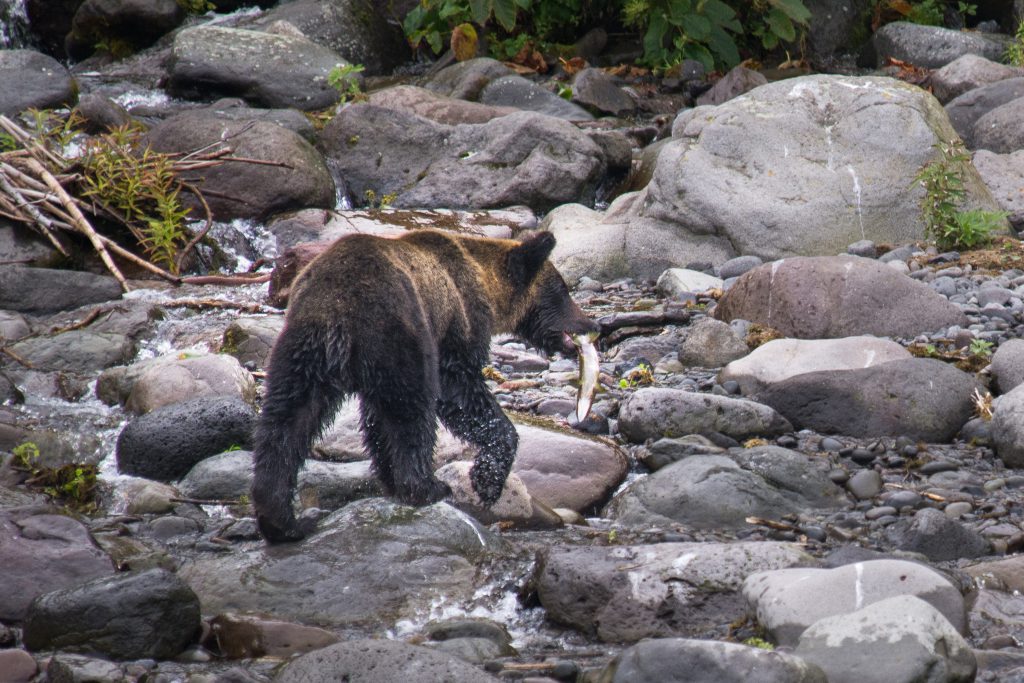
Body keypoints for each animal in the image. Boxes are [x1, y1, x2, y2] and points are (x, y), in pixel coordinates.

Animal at [250, 229, 598, 544]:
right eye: (562, 290)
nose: (592, 324)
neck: (485, 285)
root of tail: (338, 309)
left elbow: (375, 420)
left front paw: (388, 477)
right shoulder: (456, 326)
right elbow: (459, 393)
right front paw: (486, 480)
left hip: (301, 349)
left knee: (285, 421)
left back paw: (280, 520)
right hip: (396, 331)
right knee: (413, 411)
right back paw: (427, 487)